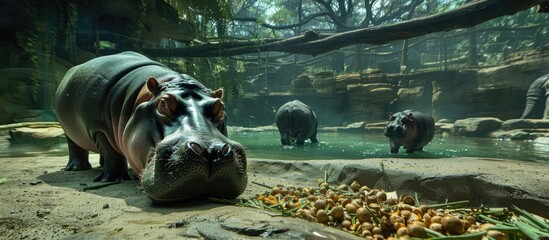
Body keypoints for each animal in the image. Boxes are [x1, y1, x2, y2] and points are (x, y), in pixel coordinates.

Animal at [54, 51, 247, 202]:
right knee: (76, 146)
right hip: (68, 129)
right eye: (163, 104)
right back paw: (77, 168)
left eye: (220, 107)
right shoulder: (100, 128)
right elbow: (112, 154)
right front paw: (113, 179)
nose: (210, 151)